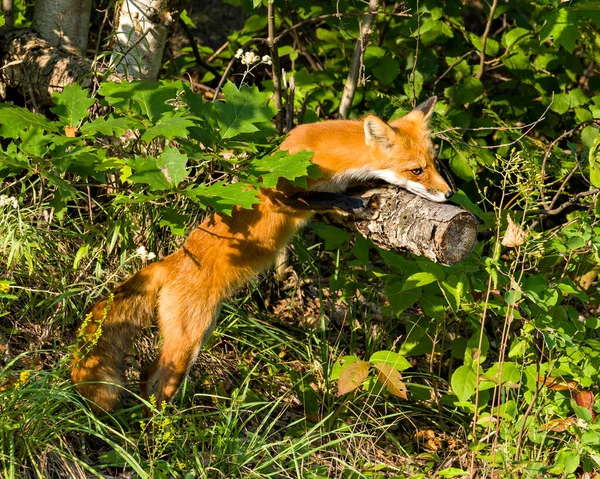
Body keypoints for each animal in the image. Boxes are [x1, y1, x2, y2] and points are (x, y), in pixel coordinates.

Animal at [70, 97, 452, 412]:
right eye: (416, 170)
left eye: (433, 163)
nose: (449, 193)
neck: (333, 159)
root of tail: (171, 261)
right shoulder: (277, 192)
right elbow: (318, 198)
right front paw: (353, 203)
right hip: (188, 342)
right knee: (161, 383)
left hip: (199, 331)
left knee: (147, 374)